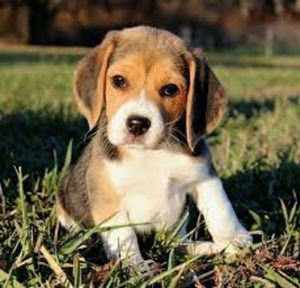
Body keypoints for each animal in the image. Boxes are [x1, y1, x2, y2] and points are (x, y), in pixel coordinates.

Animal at [56, 25, 253, 272]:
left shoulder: (204, 175)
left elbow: (220, 208)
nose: (137, 124)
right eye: (119, 81)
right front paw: (136, 268)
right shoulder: (108, 196)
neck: (151, 153)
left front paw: (236, 239)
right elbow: (124, 237)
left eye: (170, 89)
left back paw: (205, 248)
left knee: (178, 243)